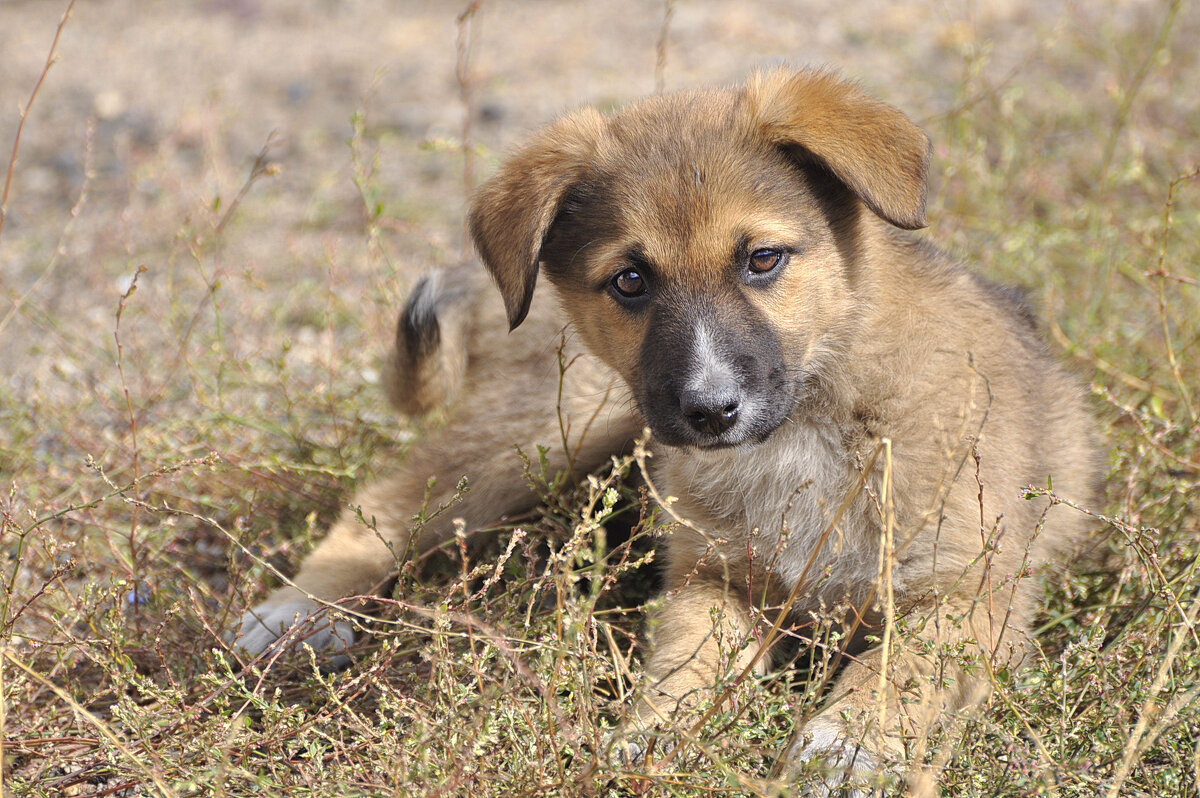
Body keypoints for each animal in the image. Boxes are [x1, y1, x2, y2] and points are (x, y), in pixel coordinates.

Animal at [236, 68, 1104, 792]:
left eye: (762, 259)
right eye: (630, 280)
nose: (711, 411)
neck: (810, 423)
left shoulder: (970, 594)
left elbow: (900, 670)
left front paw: (849, 745)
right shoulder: (711, 577)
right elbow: (685, 663)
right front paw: (658, 732)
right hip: (560, 426)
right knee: (389, 496)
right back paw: (295, 614)